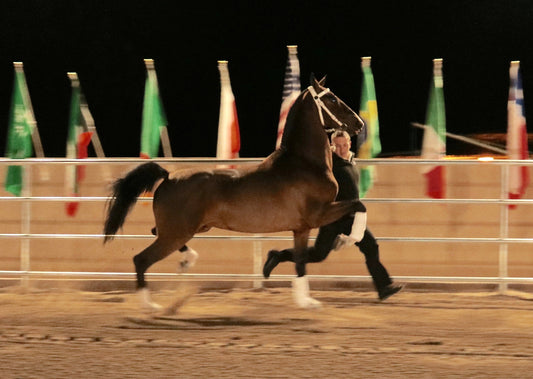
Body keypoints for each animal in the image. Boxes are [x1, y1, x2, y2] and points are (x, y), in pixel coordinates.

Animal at [102, 76, 364, 312]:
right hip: (176, 233)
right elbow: (358, 205)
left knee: (154, 233)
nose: (359, 124)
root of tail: (168, 176)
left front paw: (305, 301)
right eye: (332, 98)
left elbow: (300, 262)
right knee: (141, 260)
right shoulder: (318, 215)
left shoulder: (301, 227)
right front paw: (348, 239)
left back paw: (187, 262)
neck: (303, 163)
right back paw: (152, 306)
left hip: (188, 229)